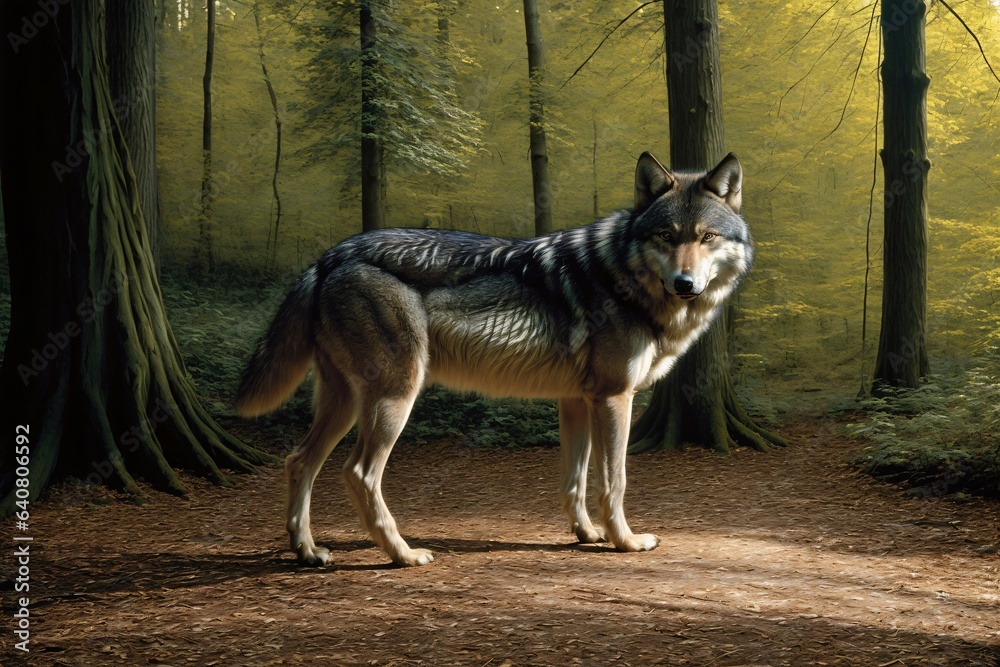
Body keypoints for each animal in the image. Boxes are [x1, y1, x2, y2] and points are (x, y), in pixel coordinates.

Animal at [235, 151, 752, 567]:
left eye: (707, 237)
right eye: (667, 235)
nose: (685, 283)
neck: (623, 277)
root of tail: (331, 255)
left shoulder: (576, 401)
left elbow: (576, 479)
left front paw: (587, 534)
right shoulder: (614, 398)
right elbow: (614, 481)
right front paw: (623, 541)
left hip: (343, 404)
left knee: (298, 461)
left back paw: (306, 551)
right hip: (394, 399)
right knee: (358, 474)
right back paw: (403, 555)